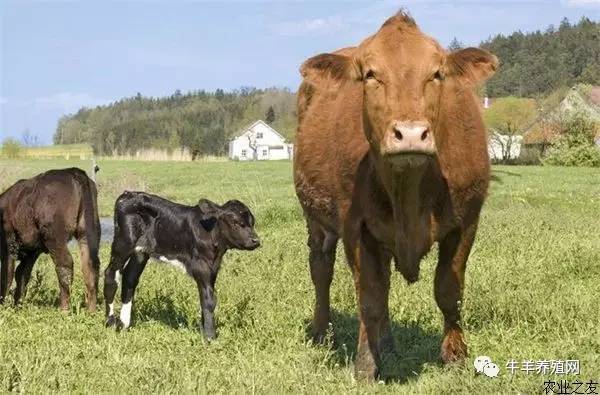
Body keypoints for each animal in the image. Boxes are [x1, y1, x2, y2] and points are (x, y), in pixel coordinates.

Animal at [0, 169, 101, 310]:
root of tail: (72, 171)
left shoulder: (9, 245)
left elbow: (7, 276)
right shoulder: (32, 252)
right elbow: (22, 274)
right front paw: (18, 306)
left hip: (54, 236)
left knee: (65, 264)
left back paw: (64, 309)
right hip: (88, 231)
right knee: (90, 265)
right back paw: (91, 311)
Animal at [104, 190, 258, 338]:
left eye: (252, 222)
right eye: (236, 222)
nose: (256, 240)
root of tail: (129, 194)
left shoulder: (213, 268)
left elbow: (208, 297)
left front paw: (204, 331)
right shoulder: (201, 266)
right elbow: (208, 301)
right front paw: (210, 336)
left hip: (140, 252)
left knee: (129, 278)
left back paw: (124, 324)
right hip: (123, 243)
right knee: (111, 274)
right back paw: (110, 322)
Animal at [294, 10, 496, 378]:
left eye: (437, 73)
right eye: (370, 75)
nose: (411, 133)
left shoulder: (467, 221)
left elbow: (449, 291)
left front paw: (456, 355)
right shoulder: (356, 227)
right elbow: (369, 298)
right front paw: (366, 366)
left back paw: (386, 342)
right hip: (316, 221)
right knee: (321, 269)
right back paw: (322, 332)